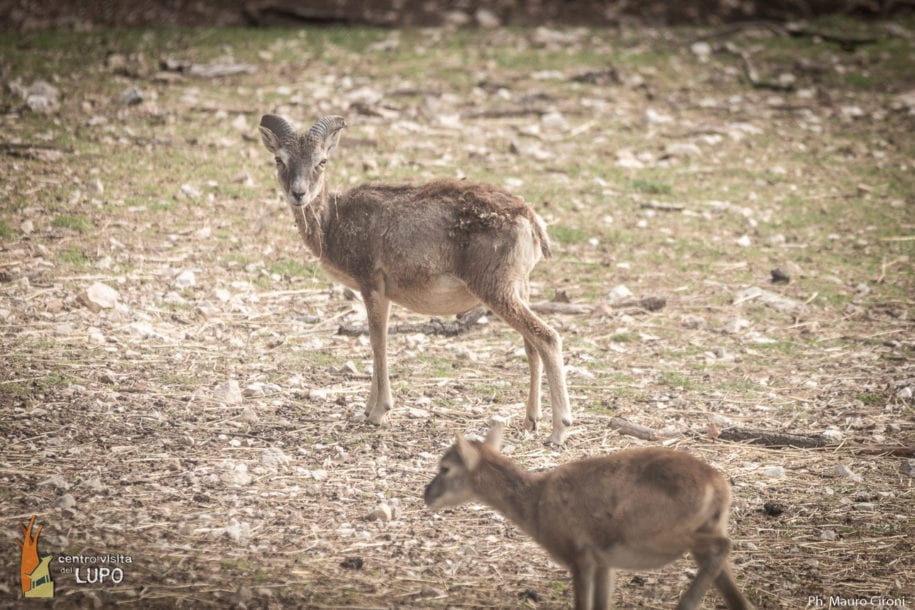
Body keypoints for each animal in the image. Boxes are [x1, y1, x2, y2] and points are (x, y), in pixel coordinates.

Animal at [260, 114, 572, 440]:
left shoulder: (371, 283)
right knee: (531, 344)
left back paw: (558, 431)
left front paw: (378, 413)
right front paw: (367, 410)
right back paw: (531, 420)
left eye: (321, 161)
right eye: (279, 159)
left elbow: (378, 342)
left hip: (496, 290)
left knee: (547, 338)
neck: (334, 221)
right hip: (519, 288)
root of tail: (531, 221)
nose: (298, 194)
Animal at [422, 422, 752, 608]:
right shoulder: (604, 562)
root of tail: (718, 485)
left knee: (723, 546)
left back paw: (686, 603)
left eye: (445, 468)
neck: (535, 506)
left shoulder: (578, 555)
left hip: (657, 535)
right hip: (705, 528)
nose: (427, 493)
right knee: (739, 597)